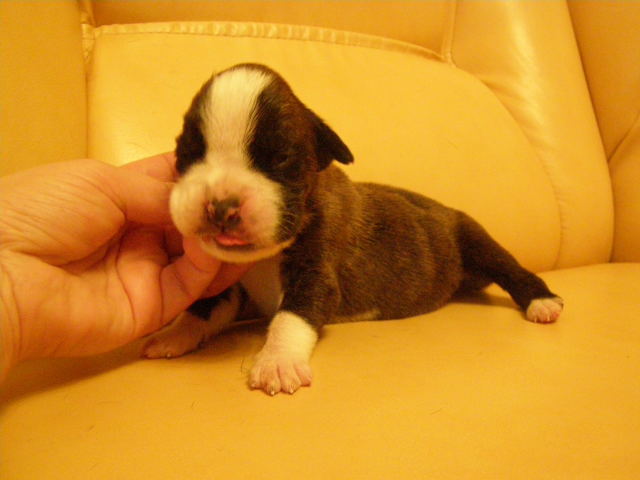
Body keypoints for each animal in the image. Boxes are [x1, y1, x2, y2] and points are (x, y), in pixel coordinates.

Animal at [143, 63, 563, 395]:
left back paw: (541, 301)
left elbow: (291, 316)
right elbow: (204, 306)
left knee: (511, 269)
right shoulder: (233, 286)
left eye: (281, 159)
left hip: (474, 238)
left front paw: (277, 361)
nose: (220, 206)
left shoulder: (316, 274)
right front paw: (174, 334)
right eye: (187, 154)